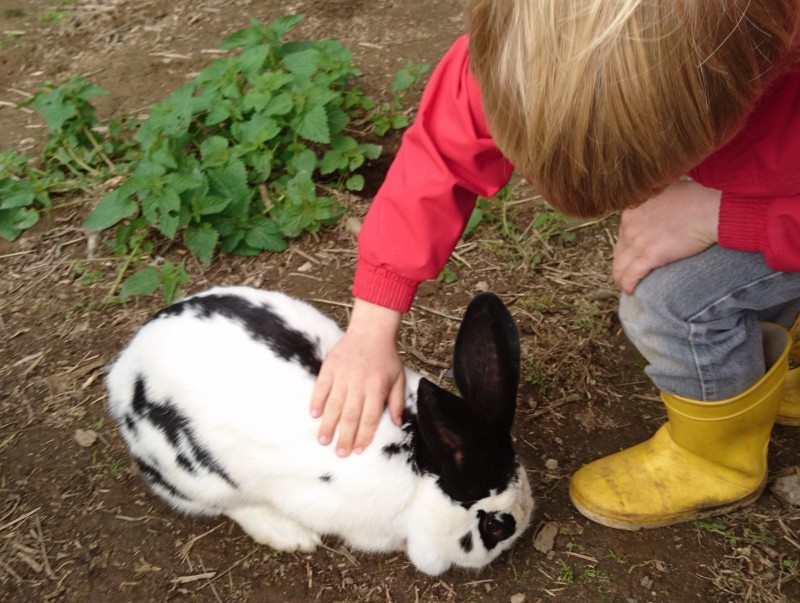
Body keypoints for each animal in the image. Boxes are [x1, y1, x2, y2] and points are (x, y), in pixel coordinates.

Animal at [104, 288, 532, 576]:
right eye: (494, 526)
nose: (516, 536)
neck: (421, 463)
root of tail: (124, 372)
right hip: (201, 478)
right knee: (228, 505)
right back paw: (290, 535)